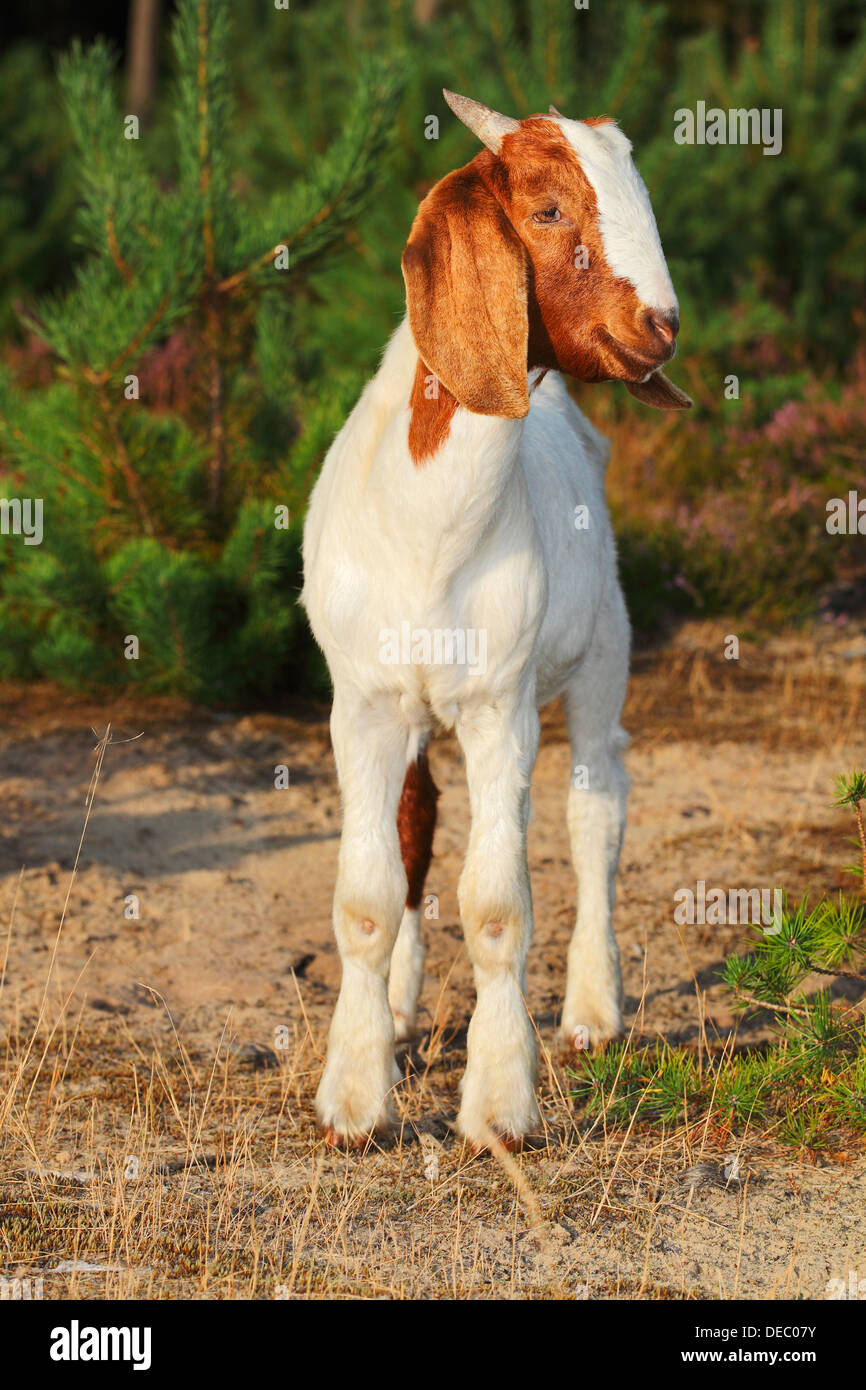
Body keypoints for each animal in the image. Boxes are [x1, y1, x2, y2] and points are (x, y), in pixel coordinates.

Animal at [301, 89, 695, 1150]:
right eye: (551, 210)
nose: (661, 327)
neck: (430, 531)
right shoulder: (362, 702)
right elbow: (367, 895)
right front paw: (355, 1098)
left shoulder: (500, 706)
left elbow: (496, 908)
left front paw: (499, 1107)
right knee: (417, 822)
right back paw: (401, 1005)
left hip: (602, 653)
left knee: (596, 802)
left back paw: (593, 1010)